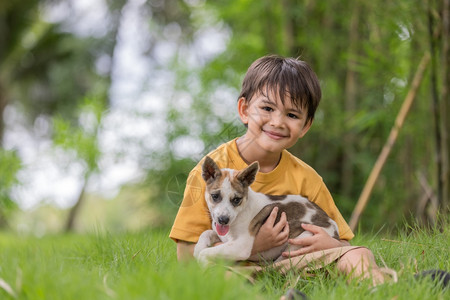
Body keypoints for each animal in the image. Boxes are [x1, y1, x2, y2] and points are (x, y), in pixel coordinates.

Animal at [192, 157, 338, 264]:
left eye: (236, 200)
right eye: (215, 196)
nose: (223, 220)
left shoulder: (241, 246)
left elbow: (205, 253)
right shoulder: (223, 237)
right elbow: (205, 233)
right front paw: (198, 248)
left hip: (302, 240)